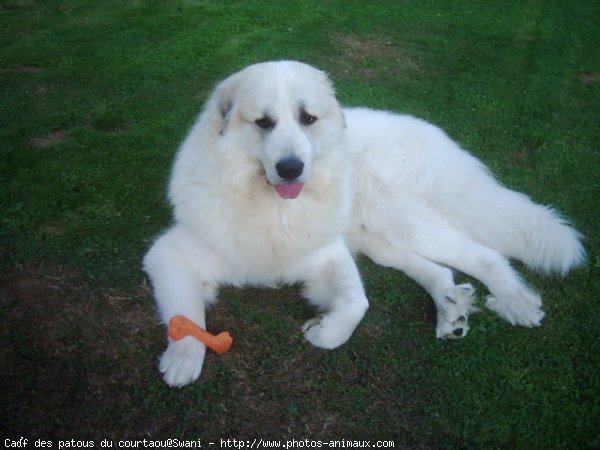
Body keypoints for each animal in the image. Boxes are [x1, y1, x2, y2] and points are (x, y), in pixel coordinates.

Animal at [143, 60, 584, 386]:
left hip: (396, 217)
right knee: (437, 269)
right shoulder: (168, 255)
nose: (291, 169)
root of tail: (440, 136)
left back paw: (515, 303)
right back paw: (451, 310)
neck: (272, 208)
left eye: (307, 118)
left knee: (485, 254)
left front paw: (322, 331)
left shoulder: (328, 253)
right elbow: (184, 315)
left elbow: (357, 304)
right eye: (263, 123)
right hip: (376, 236)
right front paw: (183, 359)